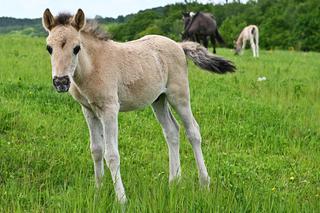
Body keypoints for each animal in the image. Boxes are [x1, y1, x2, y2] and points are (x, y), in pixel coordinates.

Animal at [42, 8, 235, 203]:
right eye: (49, 48)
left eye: (77, 48)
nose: (61, 82)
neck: (93, 66)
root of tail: (179, 46)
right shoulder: (88, 110)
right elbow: (96, 150)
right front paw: (98, 192)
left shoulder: (110, 109)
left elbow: (111, 155)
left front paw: (121, 200)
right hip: (159, 99)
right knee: (172, 131)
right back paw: (174, 181)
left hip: (178, 96)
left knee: (193, 131)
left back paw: (204, 183)